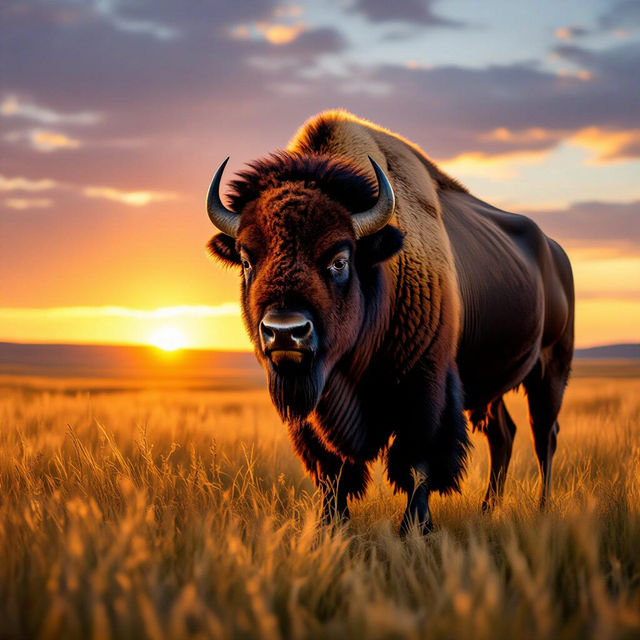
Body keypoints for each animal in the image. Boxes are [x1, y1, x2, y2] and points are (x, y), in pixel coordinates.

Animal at [206, 110, 574, 534]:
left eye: (340, 259)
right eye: (247, 259)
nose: (285, 332)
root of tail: (556, 253)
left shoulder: (427, 388)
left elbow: (418, 465)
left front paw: (415, 528)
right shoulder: (312, 413)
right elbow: (332, 471)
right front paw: (331, 528)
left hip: (551, 369)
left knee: (543, 434)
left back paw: (542, 508)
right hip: (490, 390)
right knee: (504, 434)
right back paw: (488, 510)